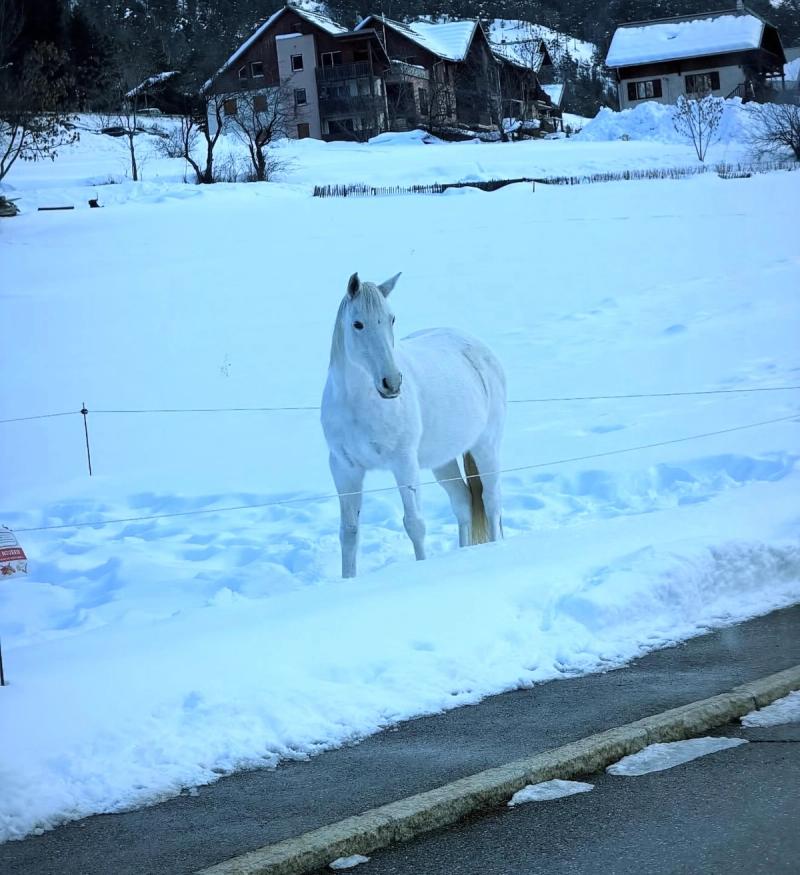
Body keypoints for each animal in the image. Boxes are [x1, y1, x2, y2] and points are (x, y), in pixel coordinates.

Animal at [321, 271, 506, 578]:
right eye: (357, 323)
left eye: (392, 319)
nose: (392, 383)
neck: (359, 404)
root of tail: (477, 346)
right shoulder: (344, 469)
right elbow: (349, 532)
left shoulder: (404, 463)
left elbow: (414, 524)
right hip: (443, 461)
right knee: (464, 503)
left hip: (486, 447)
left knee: (491, 502)